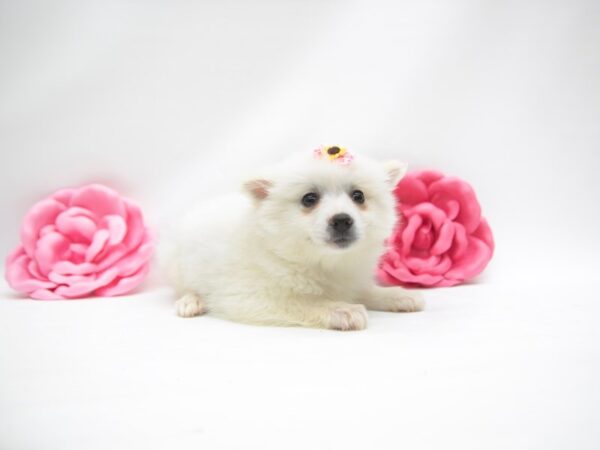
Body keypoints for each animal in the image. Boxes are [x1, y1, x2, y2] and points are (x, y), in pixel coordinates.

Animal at [163, 149, 422, 330]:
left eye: (358, 196)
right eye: (309, 199)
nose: (342, 220)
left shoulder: (347, 280)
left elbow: (365, 291)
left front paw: (397, 295)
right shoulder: (251, 296)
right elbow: (305, 303)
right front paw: (342, 310)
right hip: (176, 264)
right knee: (185, 288)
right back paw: (190, 302)